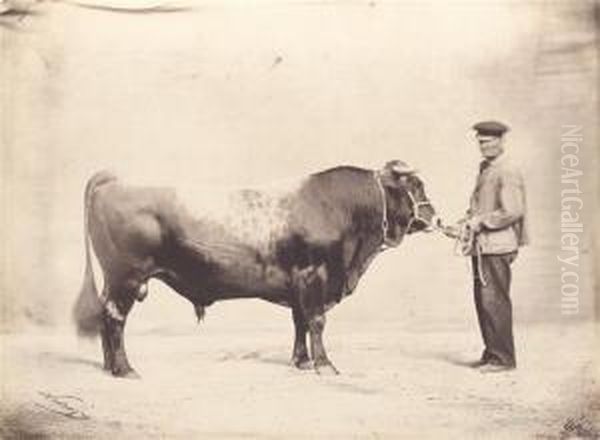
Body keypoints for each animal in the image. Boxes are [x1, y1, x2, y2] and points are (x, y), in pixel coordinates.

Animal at [74, 162, 436, 378]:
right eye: (416, 186)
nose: (436, 217)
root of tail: (116, 179)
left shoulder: (299, 282)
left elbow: (300, 322)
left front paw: (302, 361)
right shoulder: (313, 275)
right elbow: (317, 321)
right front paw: (325, 364)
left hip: (114, 279)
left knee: (105, 313)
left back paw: (108, 366)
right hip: (127, 276)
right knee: (115, 318)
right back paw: (124, 369)